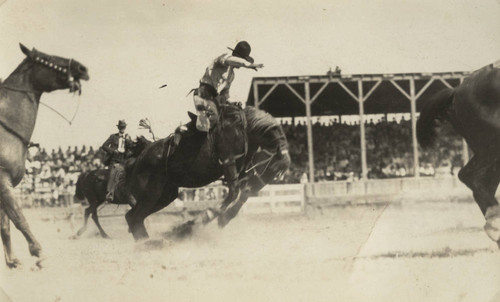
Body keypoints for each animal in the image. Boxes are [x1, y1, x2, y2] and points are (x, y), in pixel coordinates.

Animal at [0, 43, 89, 268]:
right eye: (47, 58)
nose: (82, 68)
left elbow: (5, 224)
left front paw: (12, 261)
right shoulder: (2, 180)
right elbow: (18, 217)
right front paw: (38, 253)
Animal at [125, 104, 290, 241]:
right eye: (274, 169)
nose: (264, 181)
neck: (242, 129)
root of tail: (138, 159)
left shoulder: (241, 172)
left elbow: (242, 193)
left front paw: (224, 218)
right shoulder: (228, 163)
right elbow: (234, 193)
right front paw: (207, 217)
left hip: (166, 195)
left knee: (132, 217)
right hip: (152, 194)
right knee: (135, 217)